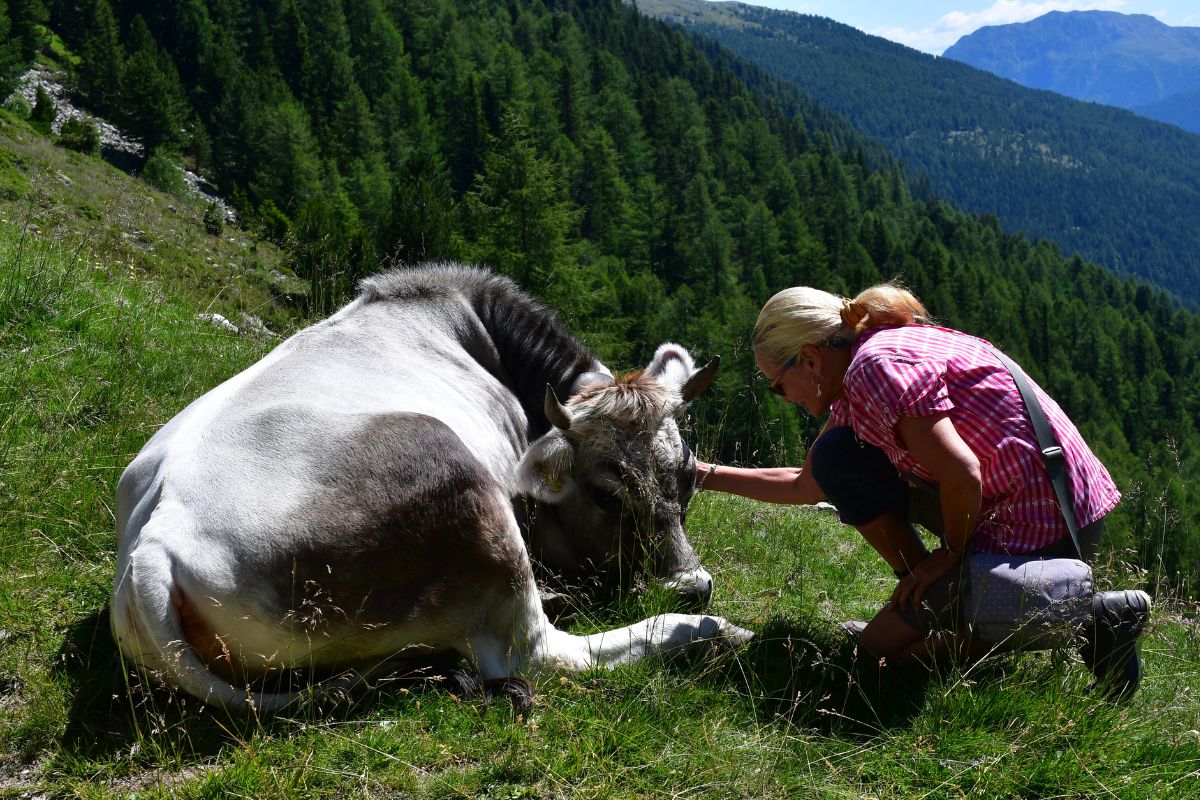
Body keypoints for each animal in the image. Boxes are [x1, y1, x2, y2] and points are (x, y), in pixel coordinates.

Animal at [110, 263, 752, 711]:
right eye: (606, 495)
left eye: (688, 480)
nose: (693, 588)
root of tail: (156, 546)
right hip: (463, 490)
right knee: (541, 652)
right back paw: (705, 631)